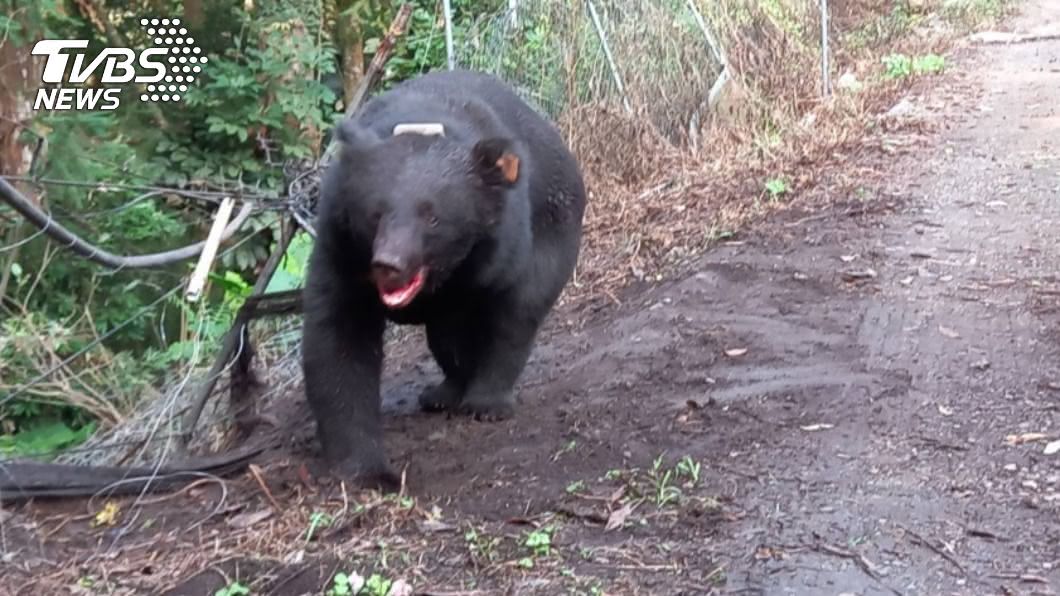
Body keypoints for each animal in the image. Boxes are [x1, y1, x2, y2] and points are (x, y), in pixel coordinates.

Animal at [300, 69, 587, 491]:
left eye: (432, 217)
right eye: (375, 214)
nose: (388, 264)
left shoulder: (500, 249)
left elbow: (506, 315)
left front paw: (485, 402)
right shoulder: (341, 247)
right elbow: (338, 340)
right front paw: (370, 471)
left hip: (558, 219)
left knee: (514, 313)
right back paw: (442, 393)